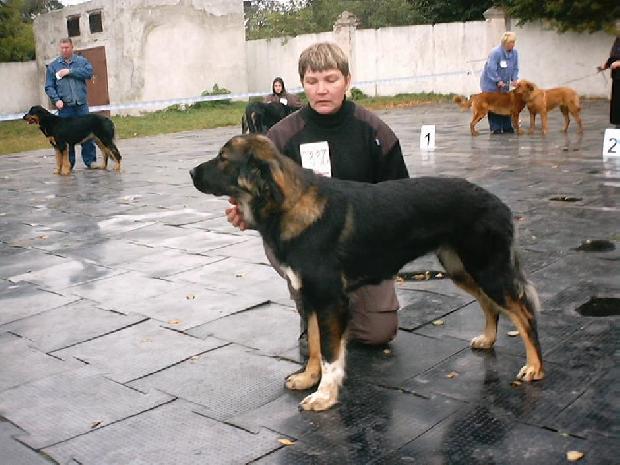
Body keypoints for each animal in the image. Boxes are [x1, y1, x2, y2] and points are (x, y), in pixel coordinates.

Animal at [190, 134, 544, 412]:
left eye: (223, 159)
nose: (191, 172)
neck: (288, 206)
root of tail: (499, 204)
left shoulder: (330, 300)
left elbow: (331, 354)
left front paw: (325, 396)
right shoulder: (312, 297)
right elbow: (315, 345)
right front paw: (308, 378)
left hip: (487, 269)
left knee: (524, 313)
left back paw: (534, 368)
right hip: (460, 268)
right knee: (490, 305)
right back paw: (488, 339)